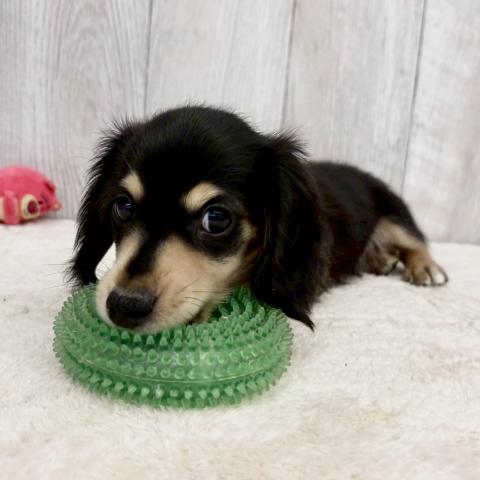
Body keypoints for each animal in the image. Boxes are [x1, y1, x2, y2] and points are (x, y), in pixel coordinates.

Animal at [69, 105, 448, 332]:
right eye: (123, 206)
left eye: (216, 219)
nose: (123, 306)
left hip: (395, 214)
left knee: (415, 241)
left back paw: (423, 267)